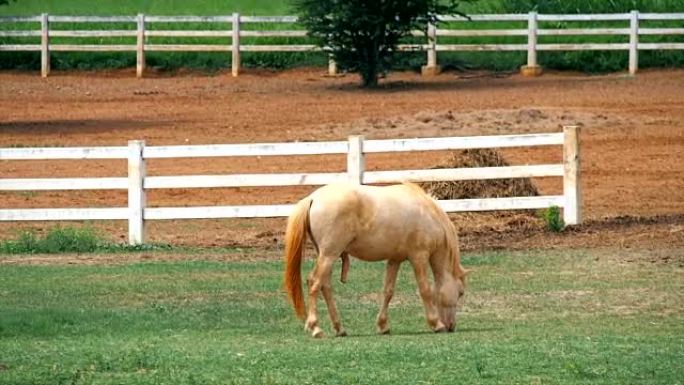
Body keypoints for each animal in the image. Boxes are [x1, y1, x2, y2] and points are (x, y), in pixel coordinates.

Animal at [280, 181, 468, 336]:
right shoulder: (419, 257)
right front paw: (436, 324)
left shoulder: (395, 260)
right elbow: (425, 290)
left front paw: (383, 325)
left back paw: (339, 328)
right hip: (329, 254)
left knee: (325, 286)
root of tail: (313, 198)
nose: (451, 326)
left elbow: (388, 291)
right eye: (460, 293)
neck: (428, 215)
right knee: (314, 283)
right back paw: (315, 327)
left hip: (326, 255)